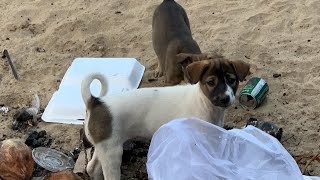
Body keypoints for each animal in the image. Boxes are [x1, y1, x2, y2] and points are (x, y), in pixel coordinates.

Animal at [80, 56, 250, 180]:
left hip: (104, 146)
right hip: (112, 152)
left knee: (92, 168)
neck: (204, 102)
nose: (225, 98)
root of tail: (95, 101)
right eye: (210, 82)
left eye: (231, 80)